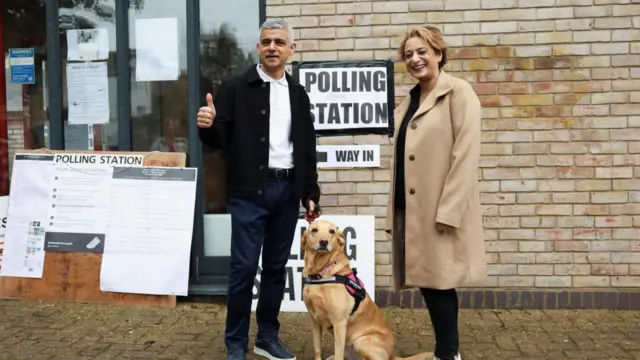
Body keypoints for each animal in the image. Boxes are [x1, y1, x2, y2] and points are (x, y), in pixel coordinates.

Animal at [302, 219, 432, 360]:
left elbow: (338, 354)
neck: (320, 274)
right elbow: (317, 349)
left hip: (361, 341)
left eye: (332, 231)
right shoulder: (314, 320)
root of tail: (392, 354)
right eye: (314, 230)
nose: (324, 242)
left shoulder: (339, 323)